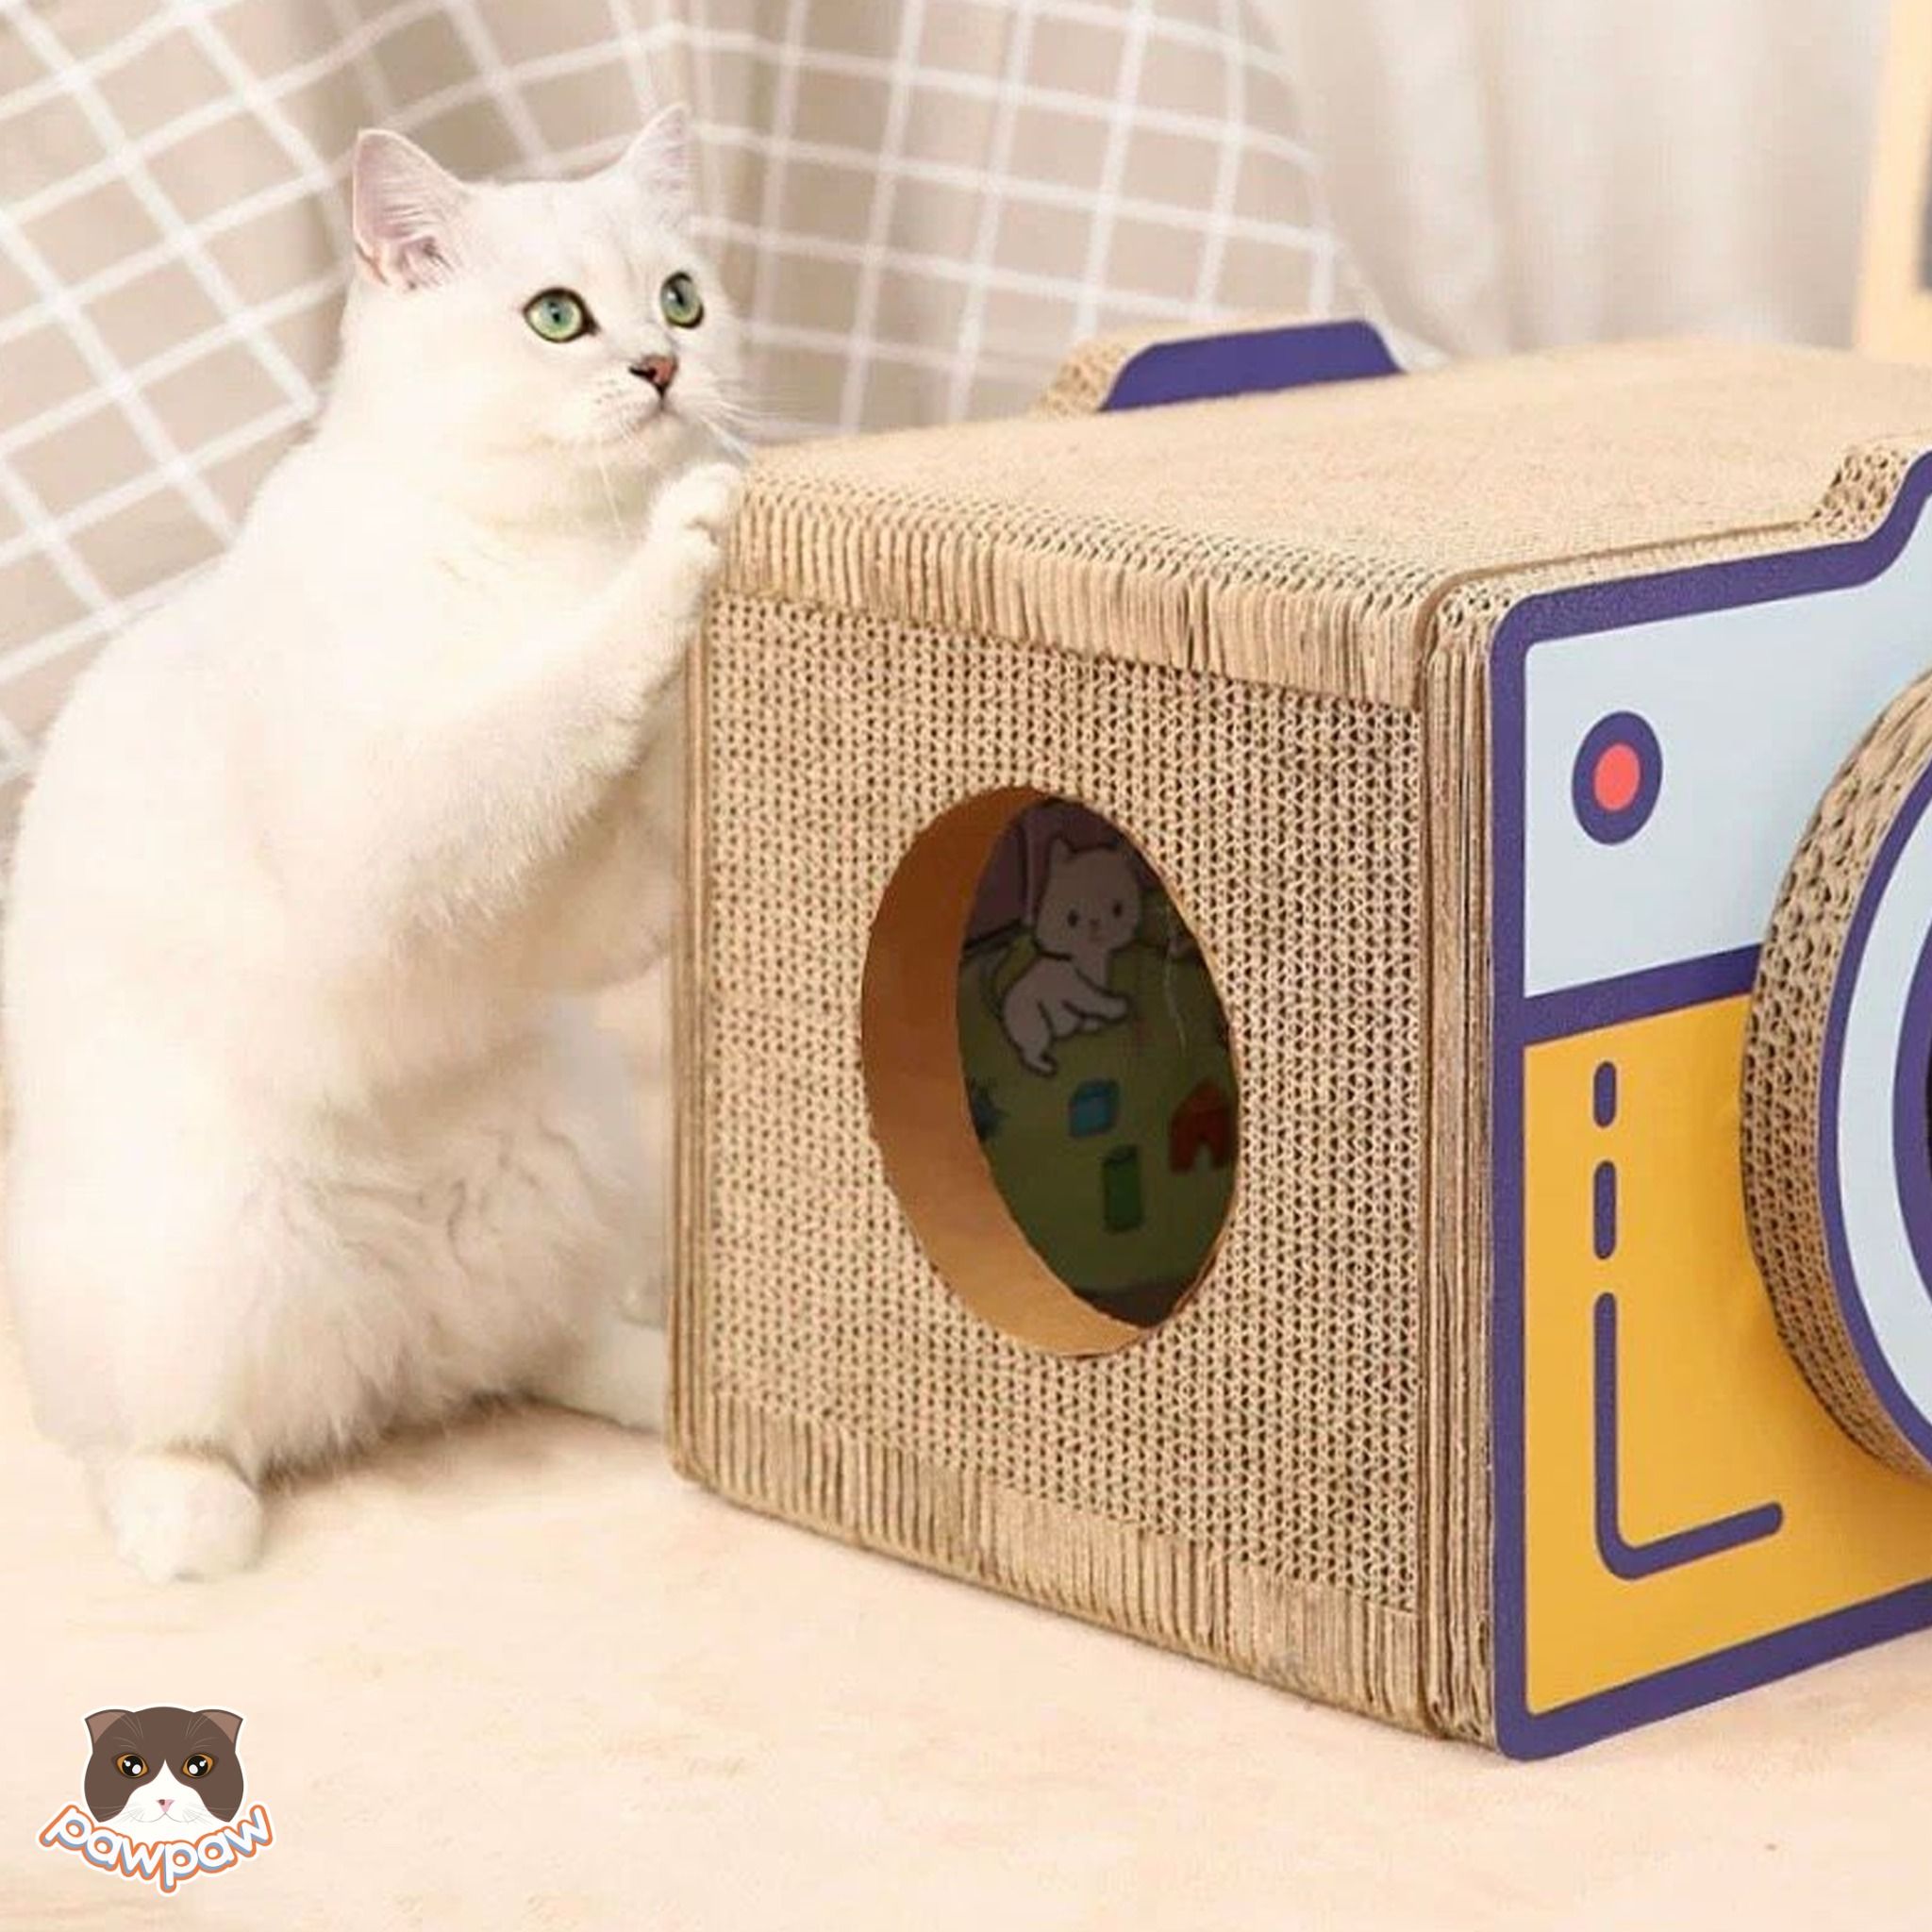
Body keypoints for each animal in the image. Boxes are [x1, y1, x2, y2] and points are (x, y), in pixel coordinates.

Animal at [2, 109, 744, 1582]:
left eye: (682, 296)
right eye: (559, 317)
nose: (662, 364)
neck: (545, 544)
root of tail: (389, 1341)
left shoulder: (580, 914)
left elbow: (632, 816)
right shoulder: (393, 821)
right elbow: (555, 702)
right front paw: (682, 536)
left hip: (566, 1161)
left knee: (527, 1347)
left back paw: (653, 1384)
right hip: (203, 1248)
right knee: (133, 1423)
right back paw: (191, 1524)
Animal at [998, 837, 1141, 1075]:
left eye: (1118, 909)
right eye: (1072, 918)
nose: (1095, 925)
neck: (1087, 955)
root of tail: (1004, 1012)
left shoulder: (1098, 977)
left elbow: (1094, 999)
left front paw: (1091, 1025)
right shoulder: (1073, 985)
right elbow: (1093, 998)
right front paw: (1117, 1008)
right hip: (1035, 1021)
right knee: (1032, 1049)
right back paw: (1046, 1067)